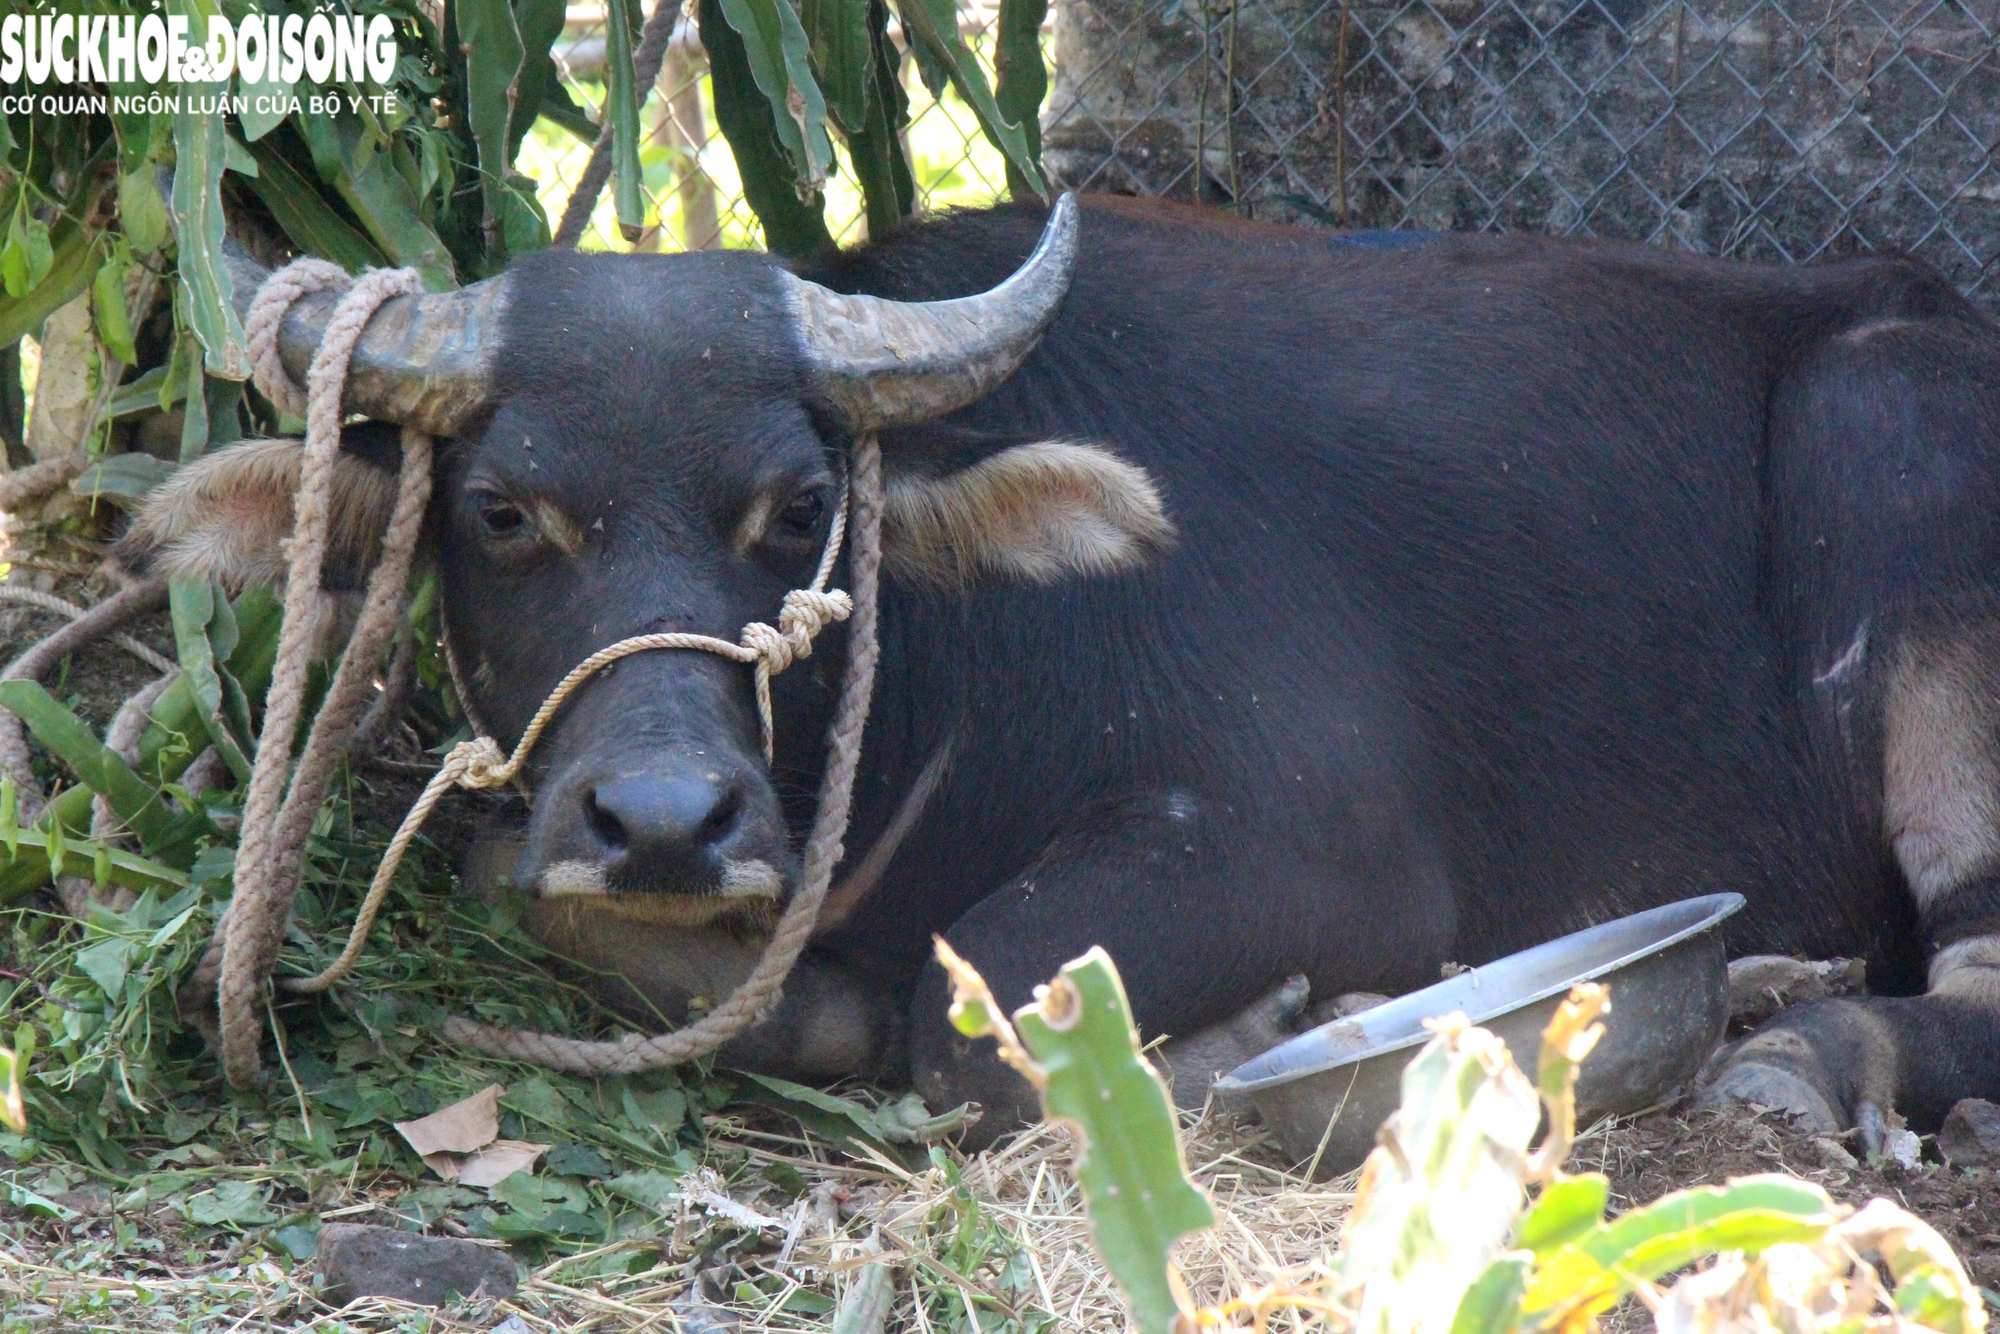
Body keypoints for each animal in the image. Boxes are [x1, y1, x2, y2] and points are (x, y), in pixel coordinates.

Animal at [125, 196, 2000, 1152]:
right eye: (502, 509)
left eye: (796, 505)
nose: (664, 822)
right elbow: (507, 875)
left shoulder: (1316, 848)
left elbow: (992, 1013)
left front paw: (1247, 1036)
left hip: (1902, 481)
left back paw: (1798, 1047)